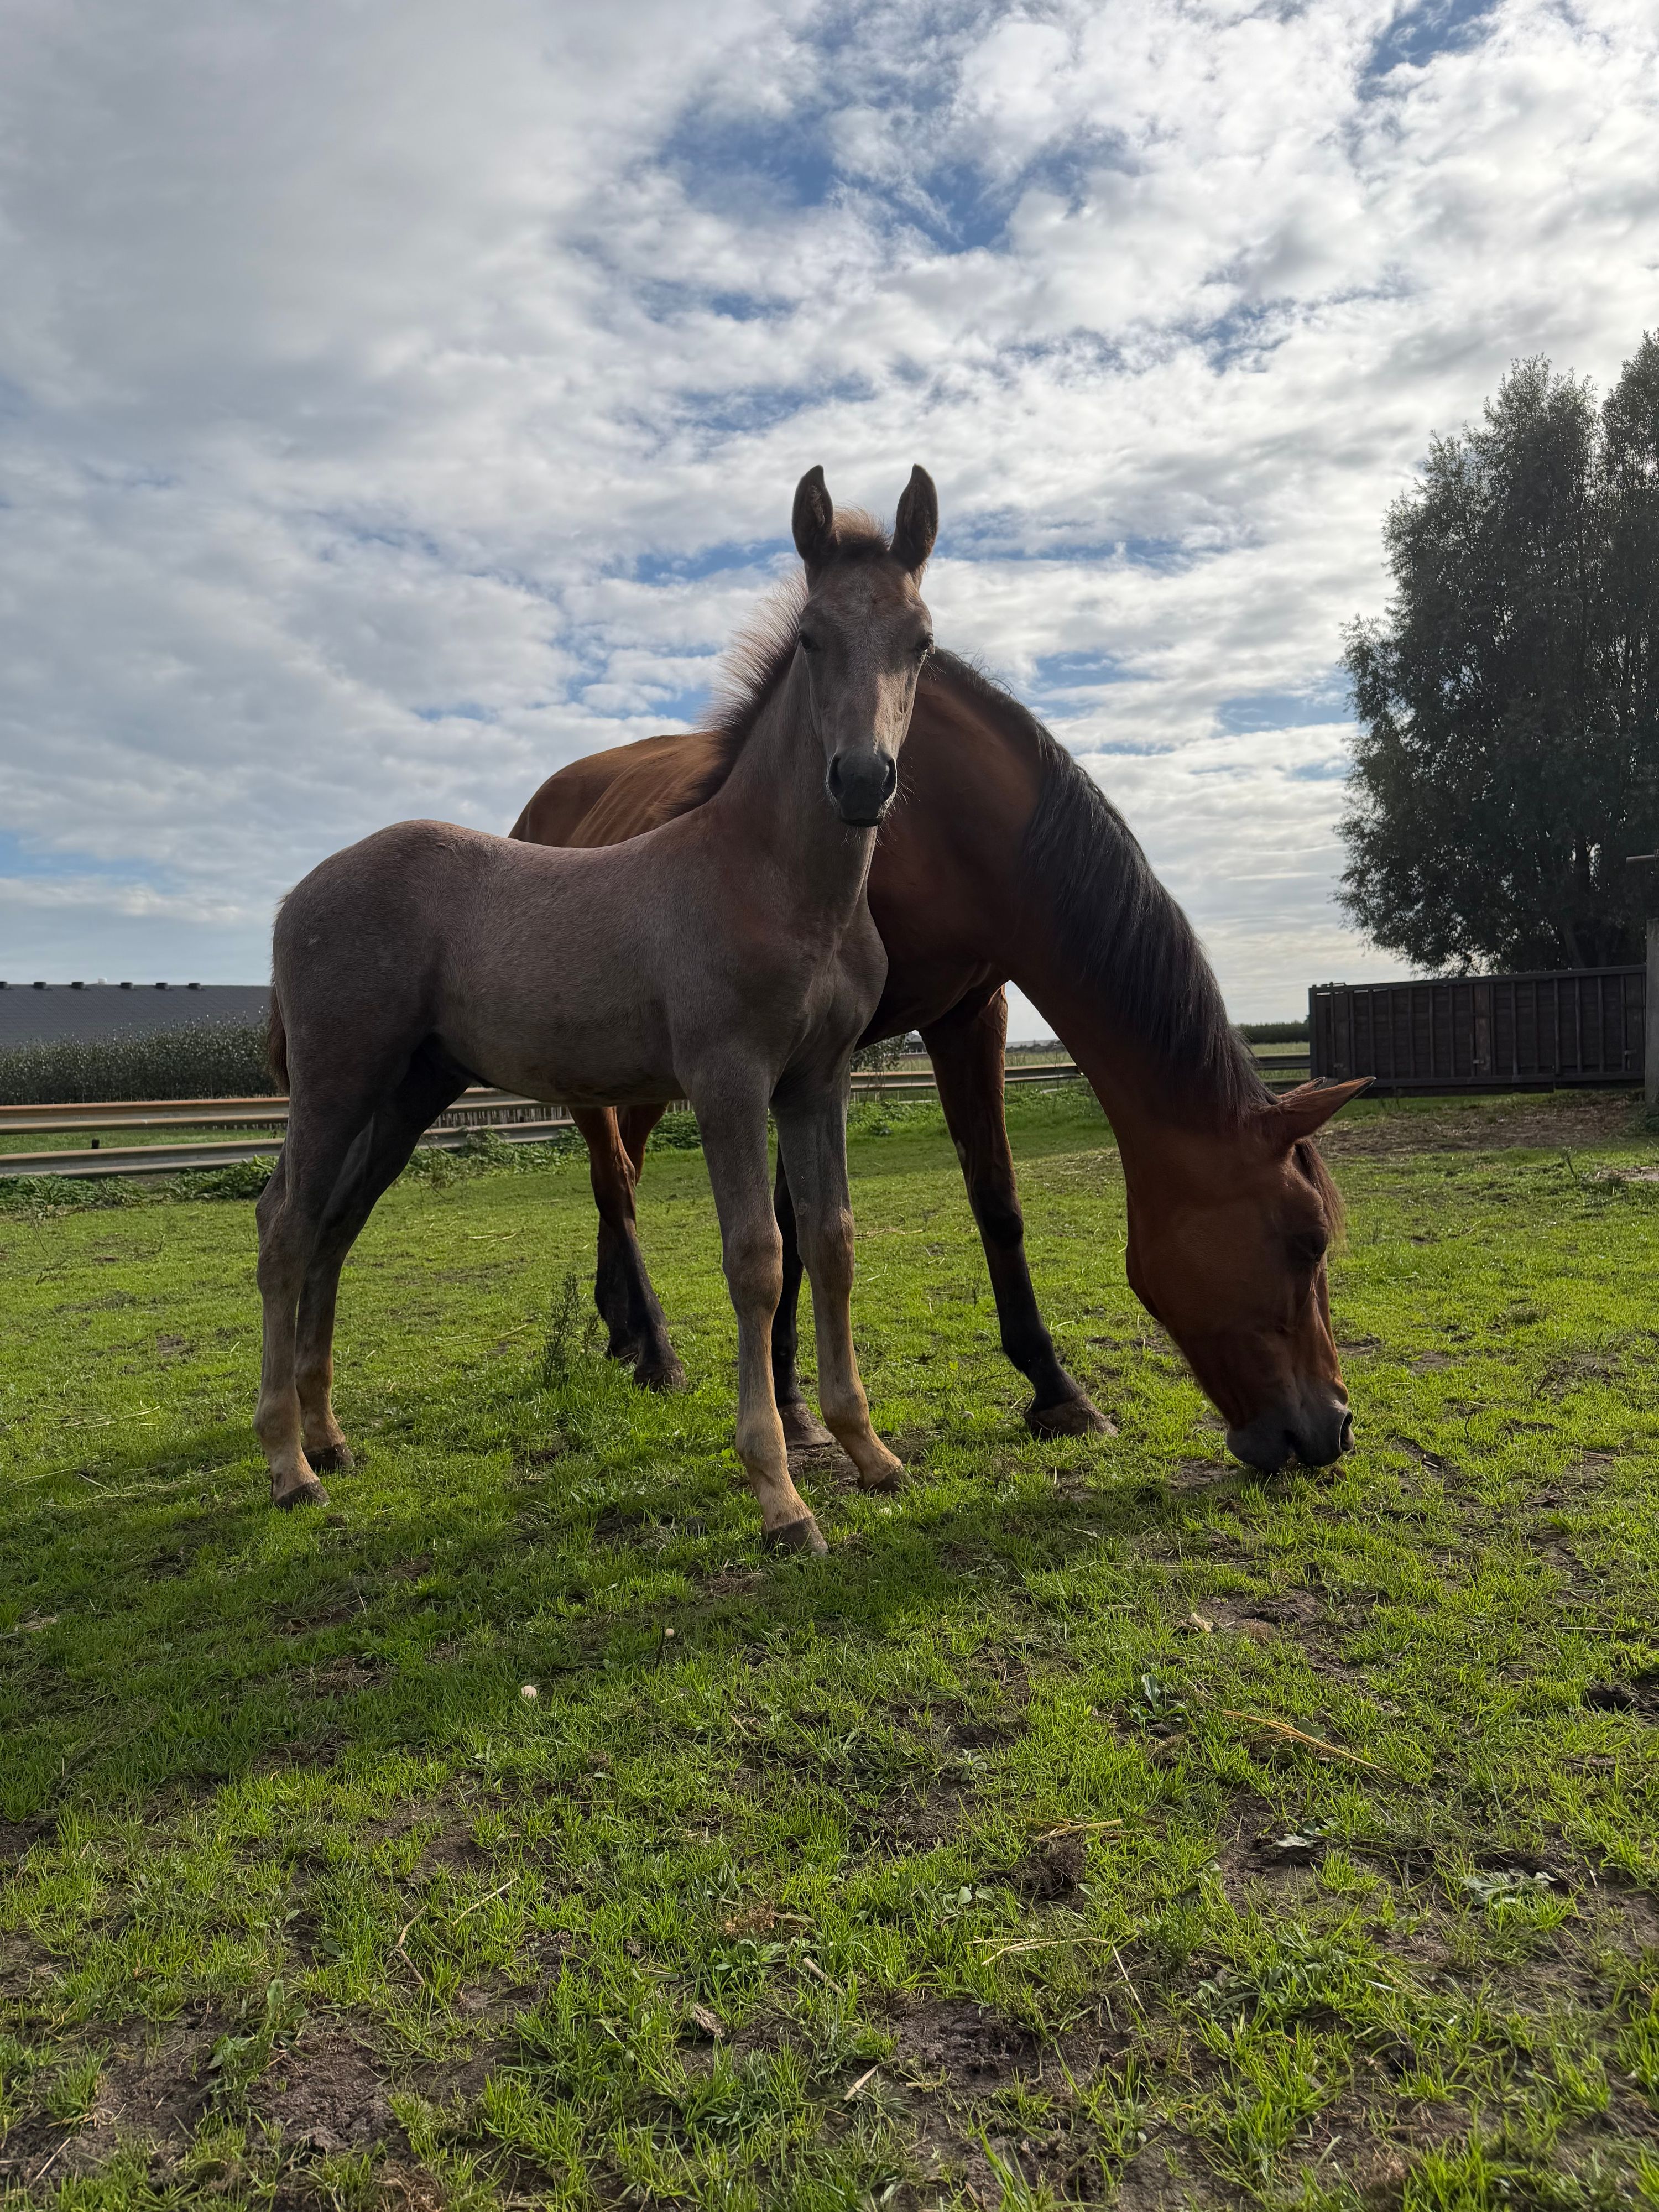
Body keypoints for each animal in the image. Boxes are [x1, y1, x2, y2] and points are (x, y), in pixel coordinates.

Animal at [253, 464, 940, 1554]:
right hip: (335, 1079)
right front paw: (780, 1496)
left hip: (407, 1089)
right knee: (284, 1224)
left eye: (921, 641)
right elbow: (757, 1257)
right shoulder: (728, 1079)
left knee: (332, 1224)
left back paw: (330, 1438)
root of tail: (300, 893)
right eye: (810, 639)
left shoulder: (815, 1081)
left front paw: (870, 1453)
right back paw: (288, 1467)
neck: (774, 881)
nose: (864, 780)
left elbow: (831, 1243)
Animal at [512, 656, 1368, 1473]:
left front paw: (1057, 1391)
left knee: (626, 1171)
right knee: (615, 1182)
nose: (1333, 1428)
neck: (948, 824)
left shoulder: (968, 1016)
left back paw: (622, 1328)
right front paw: (792, 1406)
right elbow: (791, 1224)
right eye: (1308, 1241)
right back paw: (656, 1351)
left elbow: (996, 1200)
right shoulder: (803, 1051)